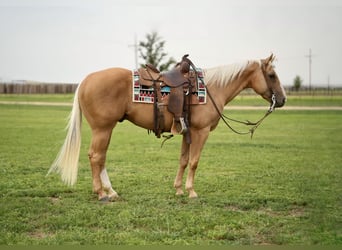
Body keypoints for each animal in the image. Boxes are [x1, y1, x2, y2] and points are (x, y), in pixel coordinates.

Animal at [48, 54, 286, 201]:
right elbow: (194, 162)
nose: (282, 99)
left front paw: (179, 189)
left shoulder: (187, 132)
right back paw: (101, 193)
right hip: (103, 129)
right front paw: (191, 192)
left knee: (100, 158)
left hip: (105, 129)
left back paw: (111, 191)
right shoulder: (201, 132)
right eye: (272, 75)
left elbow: (183, 160)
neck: (212, 88)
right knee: (96, 157)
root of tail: (86, 80)